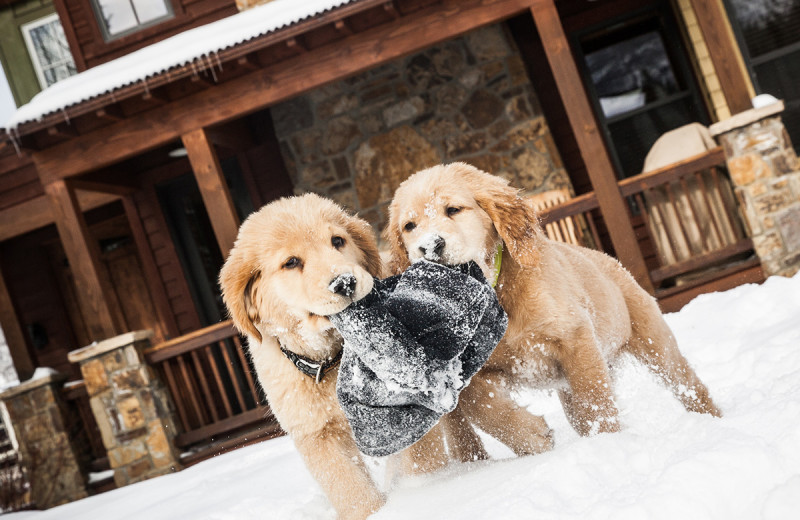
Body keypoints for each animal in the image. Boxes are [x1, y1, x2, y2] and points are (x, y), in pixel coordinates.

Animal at [219, 194, 478, 520]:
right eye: (290, 262)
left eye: (337, 241)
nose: (344, 283)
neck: (331, 359)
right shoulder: (317, 434)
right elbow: (350, 490)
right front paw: (377, 511)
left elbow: (419, 460)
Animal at [384, 164, 720, 442]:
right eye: (409, 226)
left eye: (453, 209)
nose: (429, 247)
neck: (497, 294)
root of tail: (608, 260)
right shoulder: (470, 373)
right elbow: (485, 409)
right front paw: (532, 437)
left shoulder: (575, 338)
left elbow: (593, 399)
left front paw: (608, 443)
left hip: (654, 342)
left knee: (688, 385)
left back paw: (714, 420)